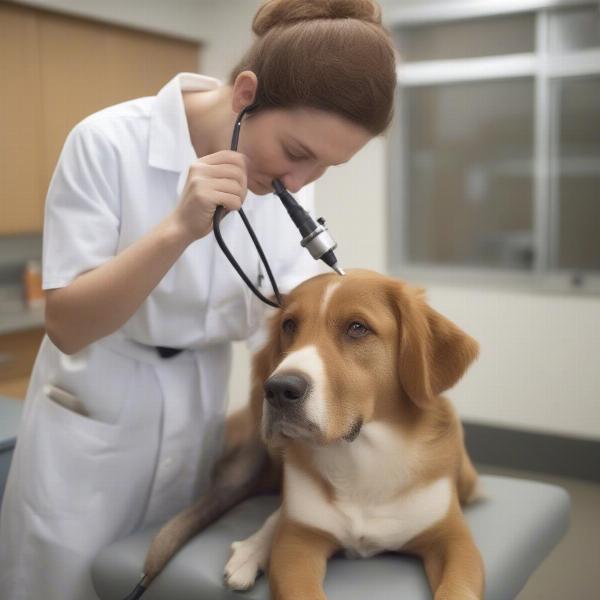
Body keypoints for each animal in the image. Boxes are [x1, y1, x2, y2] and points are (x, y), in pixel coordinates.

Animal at [134, 270, 486, 600]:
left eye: (357, 327)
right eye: (289, 325)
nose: (278, 389)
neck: (364, 457)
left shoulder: (454, 541)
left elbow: (457, 589)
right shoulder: (298, 543)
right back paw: (251, 550)